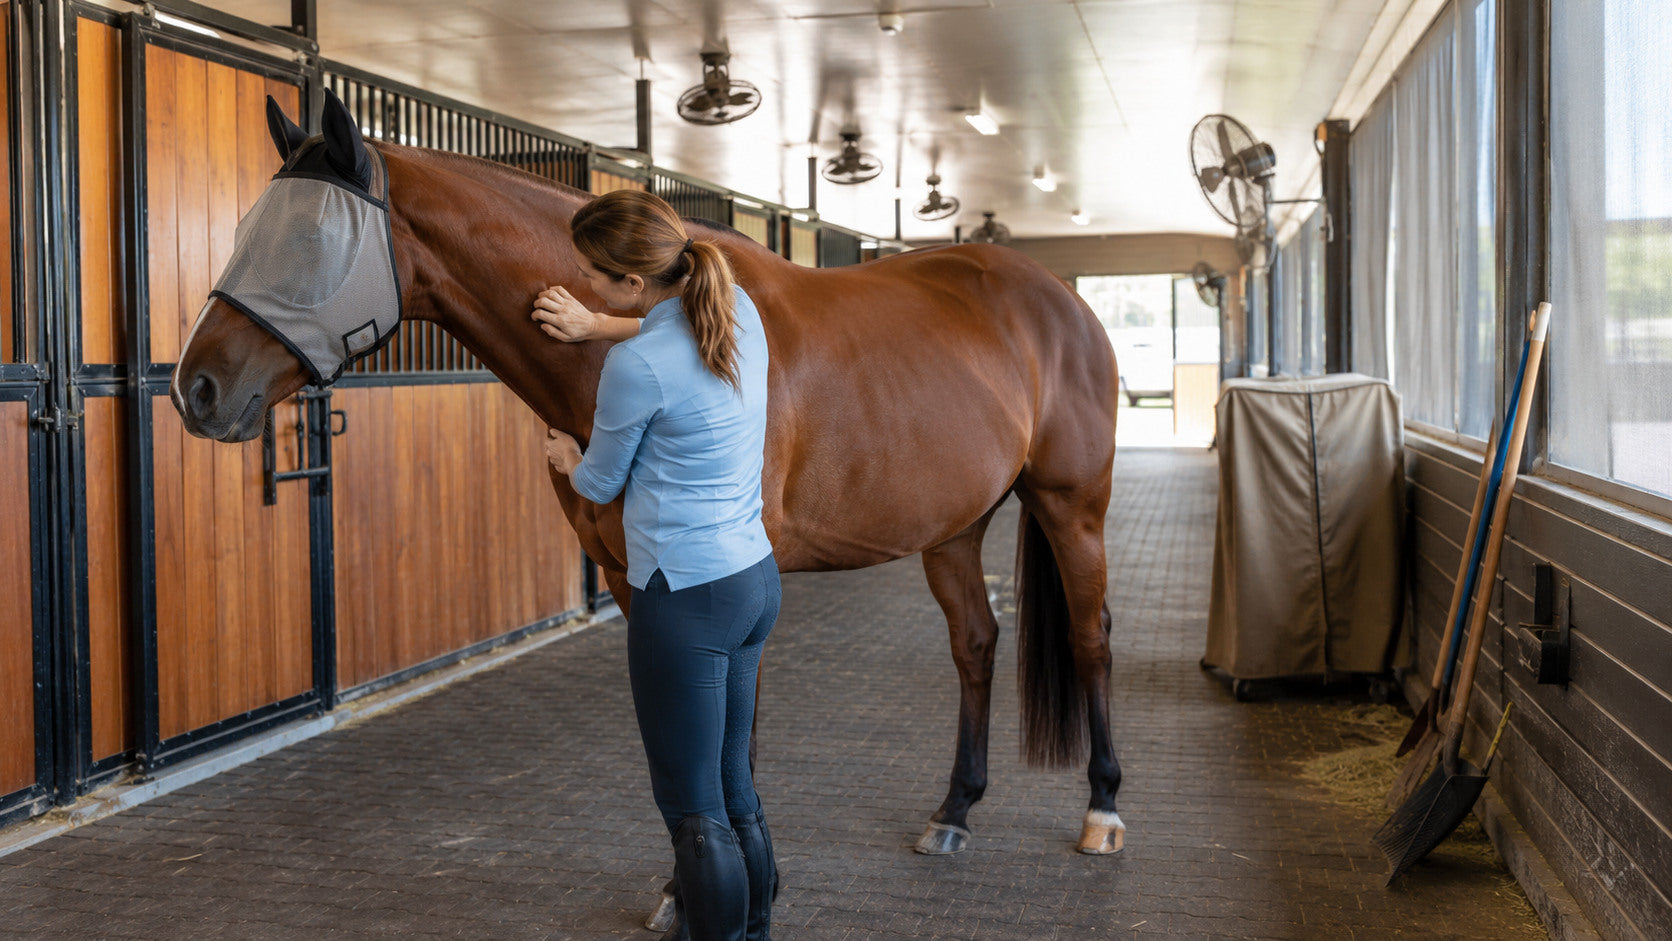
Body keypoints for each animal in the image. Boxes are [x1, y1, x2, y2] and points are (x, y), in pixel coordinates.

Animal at [171, 90, 1123, 920]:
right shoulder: (637, 582)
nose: (197, 389)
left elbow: (731, 733)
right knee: (977, 644)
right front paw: (682, 886)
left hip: (1071, 507)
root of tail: (1059, 300)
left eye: (310, 242)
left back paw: (1102, 813)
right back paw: (954, 812)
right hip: (954, 527)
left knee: (1089, 638)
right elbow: (677, 738)